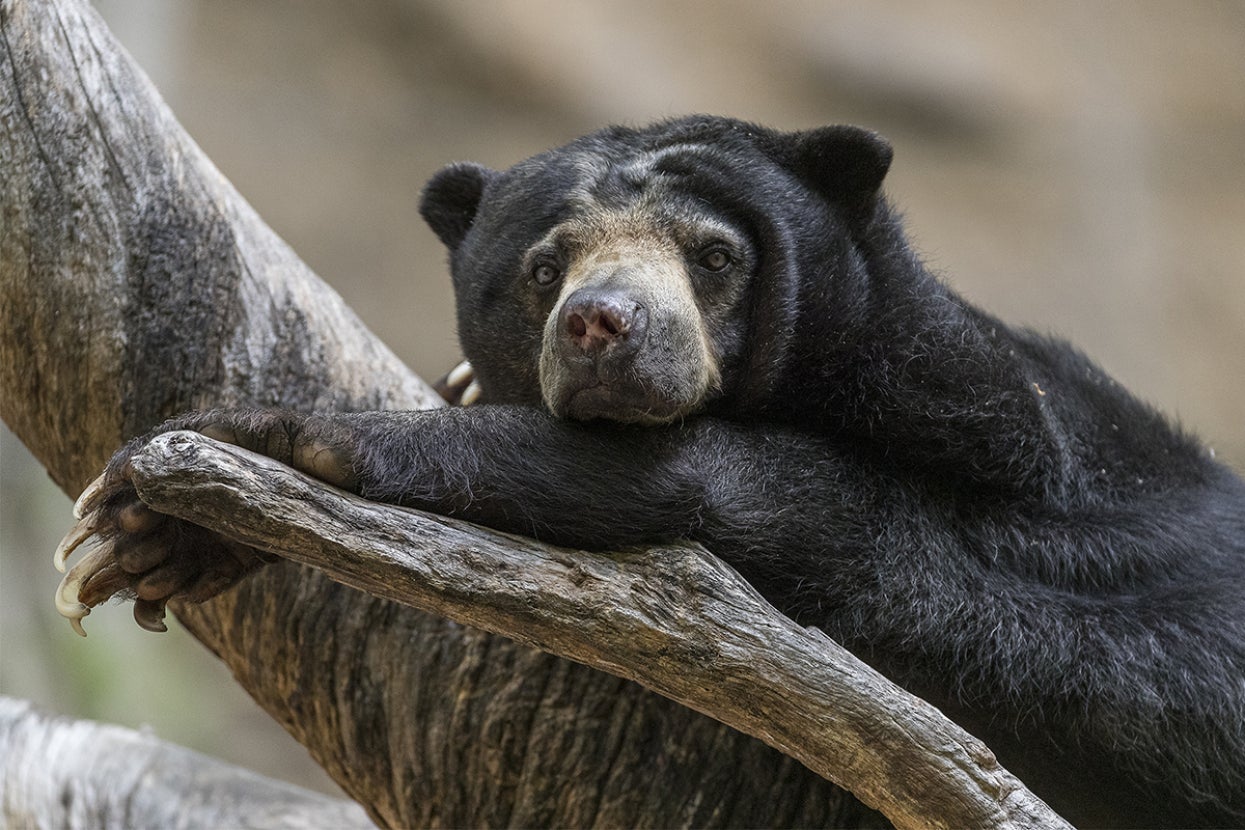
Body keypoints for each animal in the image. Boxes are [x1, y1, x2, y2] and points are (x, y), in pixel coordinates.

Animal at [55, 116, 1245, 827]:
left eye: (716, 255)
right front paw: (141, 539)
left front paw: (257, 442)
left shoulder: (1006, 493)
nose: (602, 322)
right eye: (545, 267)